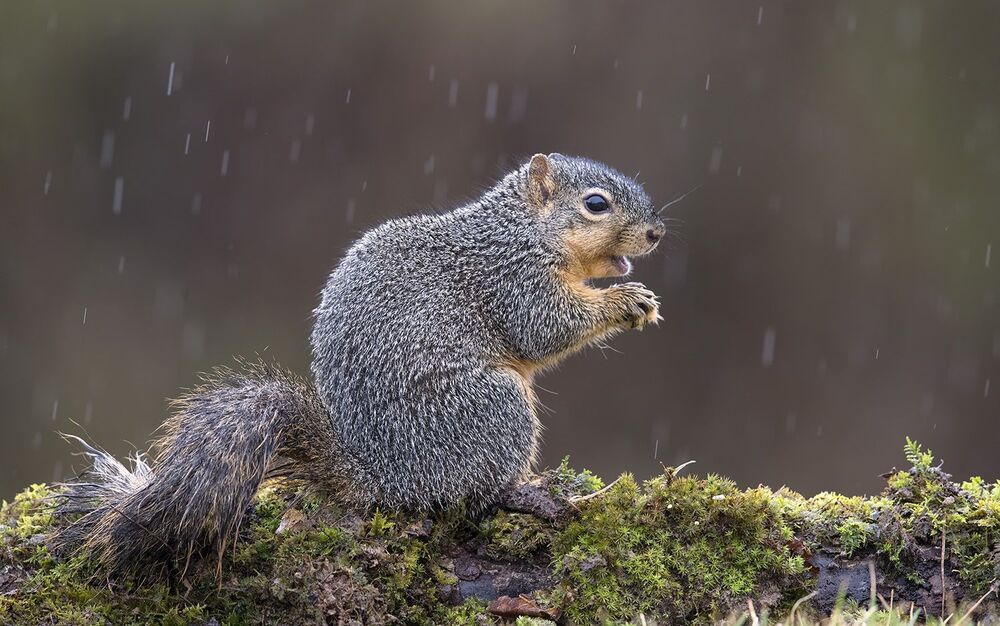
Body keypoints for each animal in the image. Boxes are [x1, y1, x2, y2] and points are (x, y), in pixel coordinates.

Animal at [54, 153, 665, 578]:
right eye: (595, 204)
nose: (657, 233)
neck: (521, 229)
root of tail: (378, 473)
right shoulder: (512, 279)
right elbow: (544, 327)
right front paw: (624, 301)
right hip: (494, 407)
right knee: (473, 492)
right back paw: (530, 493)